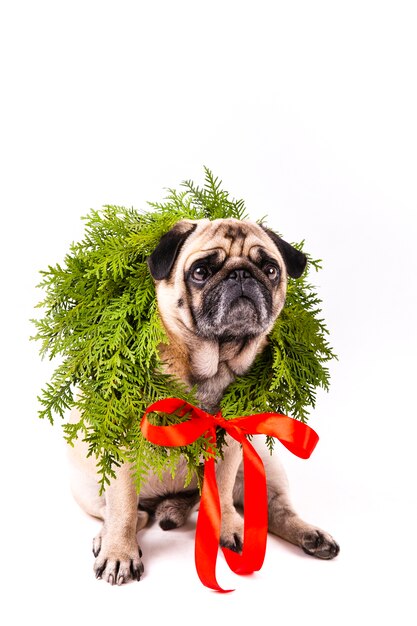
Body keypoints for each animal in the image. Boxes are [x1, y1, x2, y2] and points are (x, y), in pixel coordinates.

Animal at [67, 217, 338, 584]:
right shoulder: (124, 446)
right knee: (127, 513)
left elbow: (221, 492)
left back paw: (310, 536)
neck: (211, 362)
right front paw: (119, 554)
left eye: (270, 269)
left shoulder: (228, 443)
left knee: (276, 510)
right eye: (201, 271)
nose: (242, 275)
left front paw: (227, 527)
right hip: (90, 482)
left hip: (264, 465)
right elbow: (122, 507)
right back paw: (107, 536)